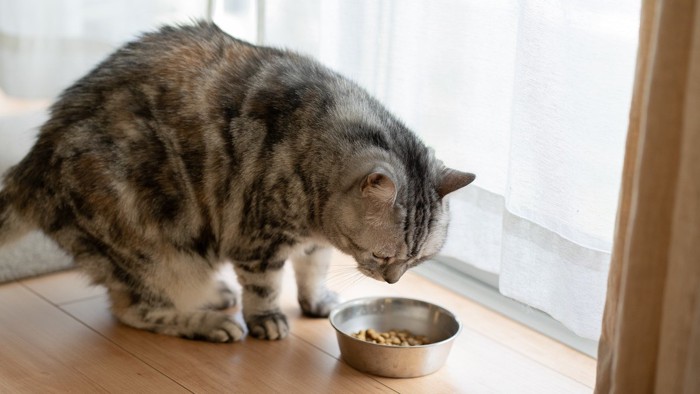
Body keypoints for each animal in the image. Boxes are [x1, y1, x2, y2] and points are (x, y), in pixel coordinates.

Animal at [0, 22, 476, 342]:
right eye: (382, 255)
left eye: (417, 261)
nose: (393, 282)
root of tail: (29, 166)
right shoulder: (258, 238)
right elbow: (266, 288)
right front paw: (268, 320)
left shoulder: (313, 244)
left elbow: (312, 271)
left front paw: (316, 300)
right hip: (154, 249)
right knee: (136, 309)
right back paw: (210, 323)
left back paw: (216, 296)